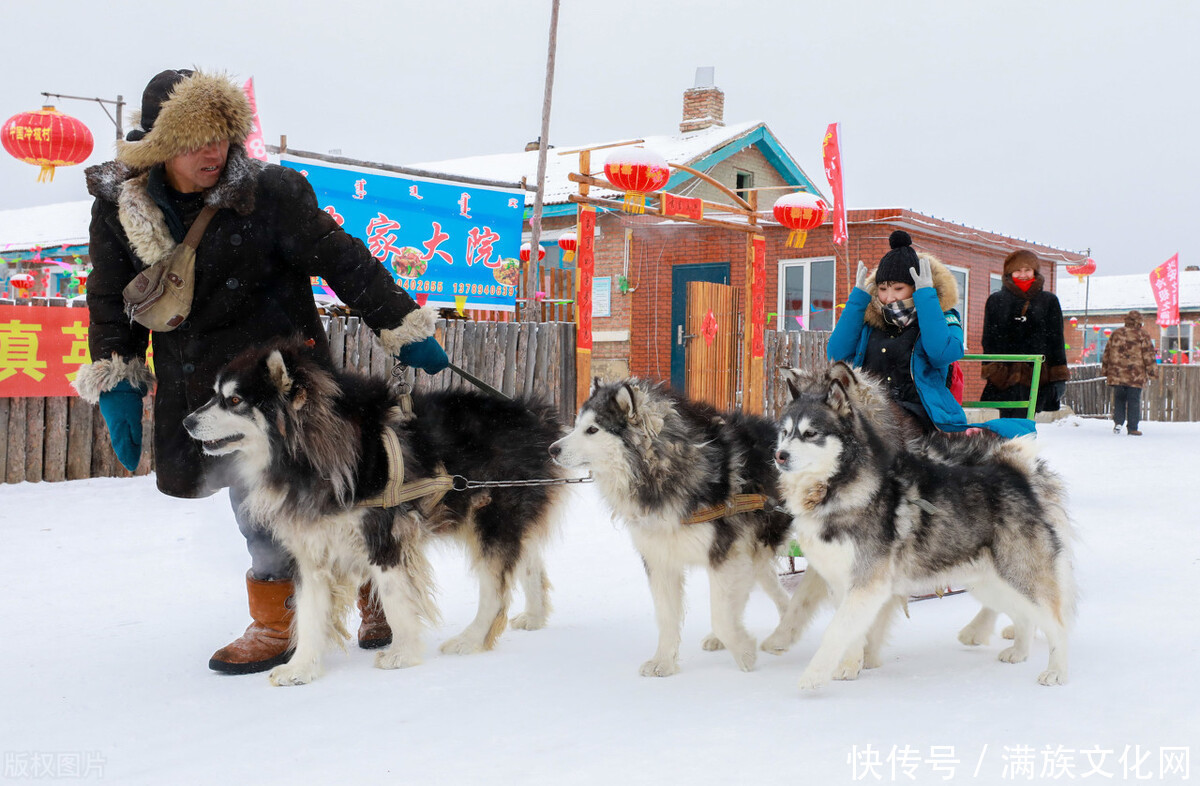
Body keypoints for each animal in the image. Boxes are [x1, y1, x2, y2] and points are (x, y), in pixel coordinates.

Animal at [183, 340, 566, 686]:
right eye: (215, 395)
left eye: (234, 400)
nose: (186, 421)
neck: (309, 456)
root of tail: (535, 415)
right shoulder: (311, 547)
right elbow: (308, 613)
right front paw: (302, 667)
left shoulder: (384, 536)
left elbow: (395, 599)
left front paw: (403, 654)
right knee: (529, 563)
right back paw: (534, 616)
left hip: (491, 520)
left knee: (496, 590)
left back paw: (471, 638)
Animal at [549, 381, 796, 676]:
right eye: (576, 425)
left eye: (592, 429)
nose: (552, 449)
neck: (663, 470)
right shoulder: (659, 558)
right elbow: (667, 617)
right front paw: (663, 661)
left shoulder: (723, 554)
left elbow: (721, 615)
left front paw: (745, 653)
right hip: (754, 552)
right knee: (774, 592)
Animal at [772, 362, 1084, 691]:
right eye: (785, 433)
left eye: (810, 433)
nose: (780, 455)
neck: (836, 490)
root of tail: (1015, 475)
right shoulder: (842, 584)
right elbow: (850, 629)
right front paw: (848, 666)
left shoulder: (867, 583)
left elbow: (836, 631)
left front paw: (814, 675)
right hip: (989, 582)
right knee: (1022, 615)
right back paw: (1018, 651)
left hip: (1021, 575)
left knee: (1056, 624)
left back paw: (1056, 671)